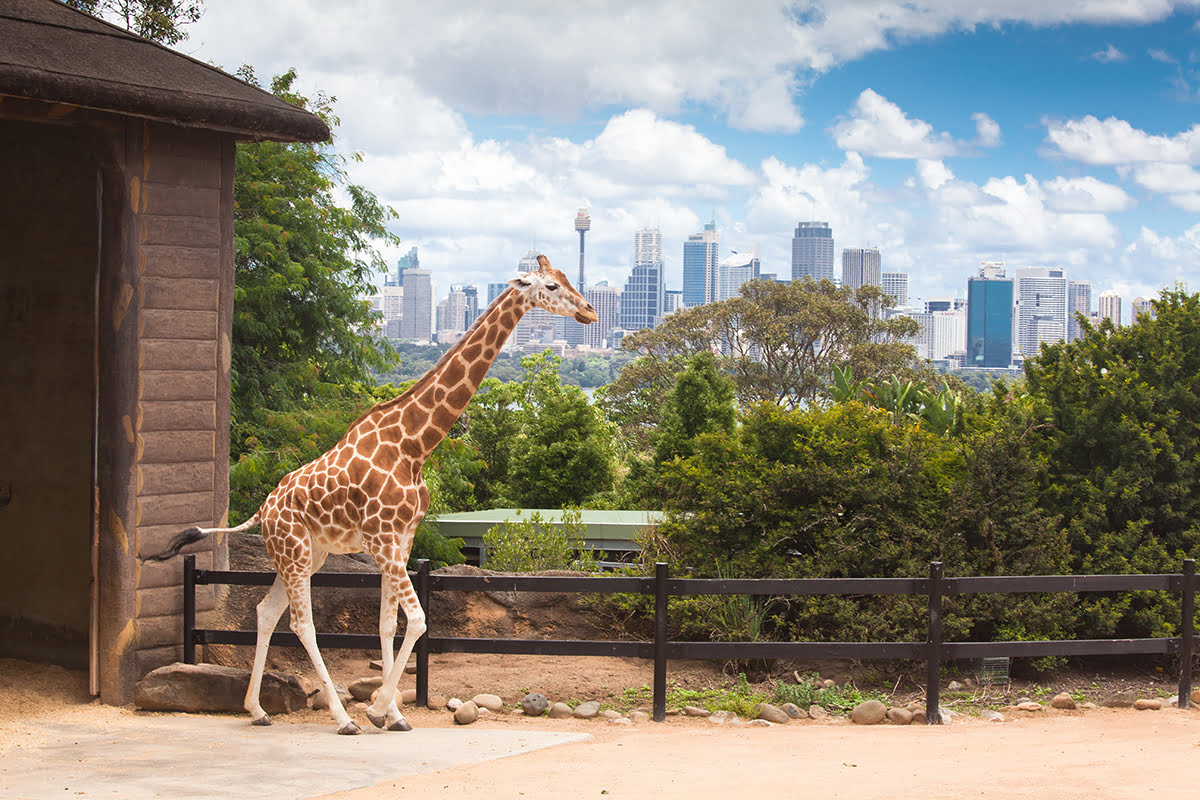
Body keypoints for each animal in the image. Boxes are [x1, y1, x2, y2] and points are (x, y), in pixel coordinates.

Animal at [150, 255, 595, 734]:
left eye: (567, 278)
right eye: (552, 285)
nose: (589, 311)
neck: (414, 445)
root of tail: (261, 512)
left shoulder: (401, 540)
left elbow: (387, 624)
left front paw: (395, 714)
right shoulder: (382, 539)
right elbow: (417, 620)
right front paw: (378, 708)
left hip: (305, 556)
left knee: (266, 612)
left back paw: (257, 709)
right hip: (295, 555)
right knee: (301, 623)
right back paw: (342, 717)